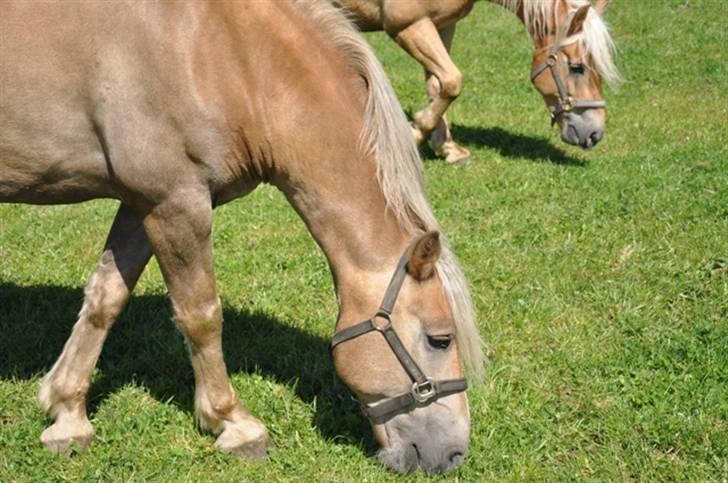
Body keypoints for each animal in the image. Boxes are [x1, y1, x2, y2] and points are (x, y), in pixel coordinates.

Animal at [0, 0, 484, 476]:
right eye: (441, 339)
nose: (453, 454)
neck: (227, 54)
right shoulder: (177, 201)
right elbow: (201, 315)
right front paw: (233, 423)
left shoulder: (143, 203)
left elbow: (105, 300)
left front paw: (67, 414)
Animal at [332, 0, 620, 164]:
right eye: (577, 67)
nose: (594, 133)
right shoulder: (408, 25)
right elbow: (452, 81)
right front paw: (415, 132)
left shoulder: (441, 25)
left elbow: (438, 85)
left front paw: (448, 148)